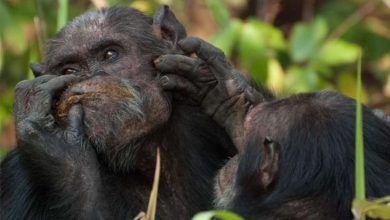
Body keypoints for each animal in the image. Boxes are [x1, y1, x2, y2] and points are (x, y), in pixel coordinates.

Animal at [0, 6, 241, 219]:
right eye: (70, 70)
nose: (92, 79)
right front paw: (60, 148)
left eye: (109, 54)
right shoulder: (16, 178)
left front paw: (228, 94)